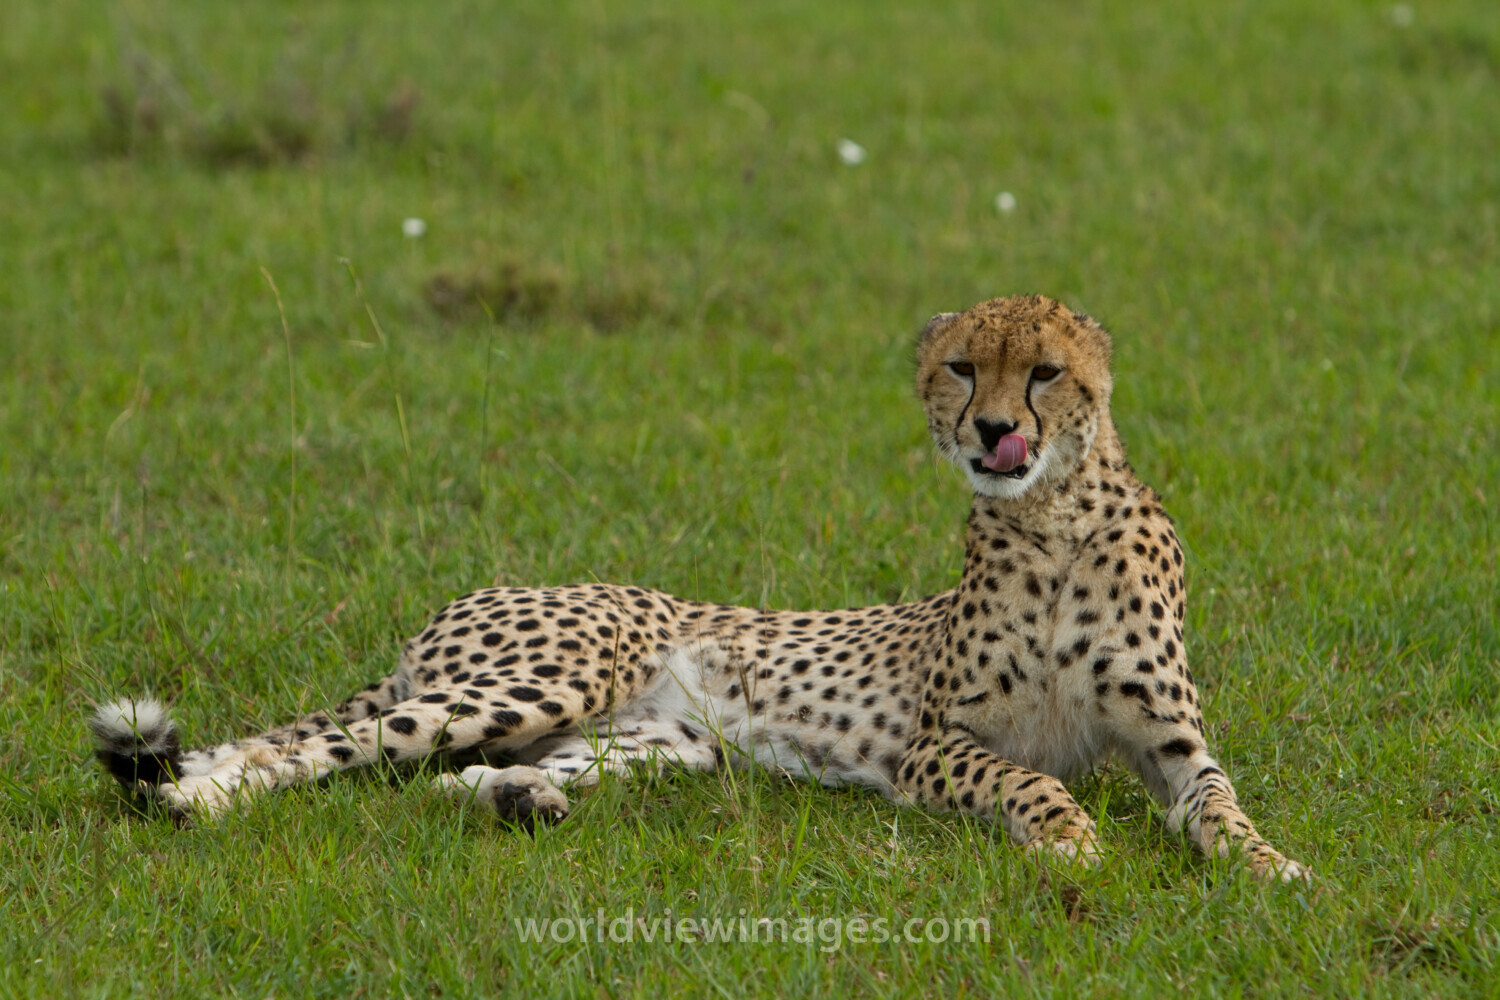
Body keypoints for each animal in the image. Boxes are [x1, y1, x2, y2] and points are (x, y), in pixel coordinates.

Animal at [90, 294, 1307, 881]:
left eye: (1046, 372)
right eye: (964, 367)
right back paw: (196, 800)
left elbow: (1222, 804)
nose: (995, 431)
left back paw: (523, 801)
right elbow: (1032, 779)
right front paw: (1069, 840)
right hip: (551, 674)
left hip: (660, 740)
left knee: (454, 777)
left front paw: (1272, 866)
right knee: (315, 748)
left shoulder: (1169, 742)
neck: (1052, 524)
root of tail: (460, 603)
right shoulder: (933, 748)